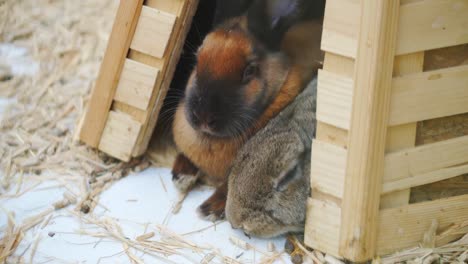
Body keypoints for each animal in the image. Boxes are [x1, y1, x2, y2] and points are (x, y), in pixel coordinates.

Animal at [173, 0, 326, 220]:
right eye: (197, 59)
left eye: (249, 71)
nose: (203, 117)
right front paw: (181, 176)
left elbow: (232, 185)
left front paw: (210, 208)